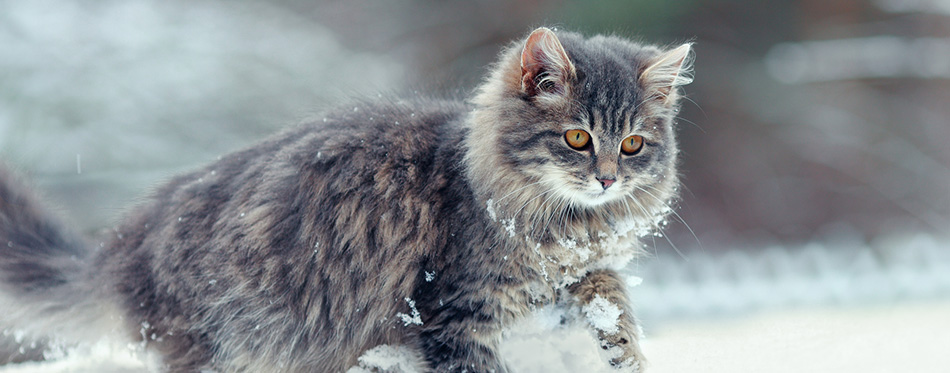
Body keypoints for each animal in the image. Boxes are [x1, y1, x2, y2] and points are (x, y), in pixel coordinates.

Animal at [0, 27, 692, 370]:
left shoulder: (581, 273)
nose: (607, 178)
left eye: (633, 144)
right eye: (578, 138)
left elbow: (611, 298)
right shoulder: (457, 310)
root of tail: (124, 245)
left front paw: (625, 351)